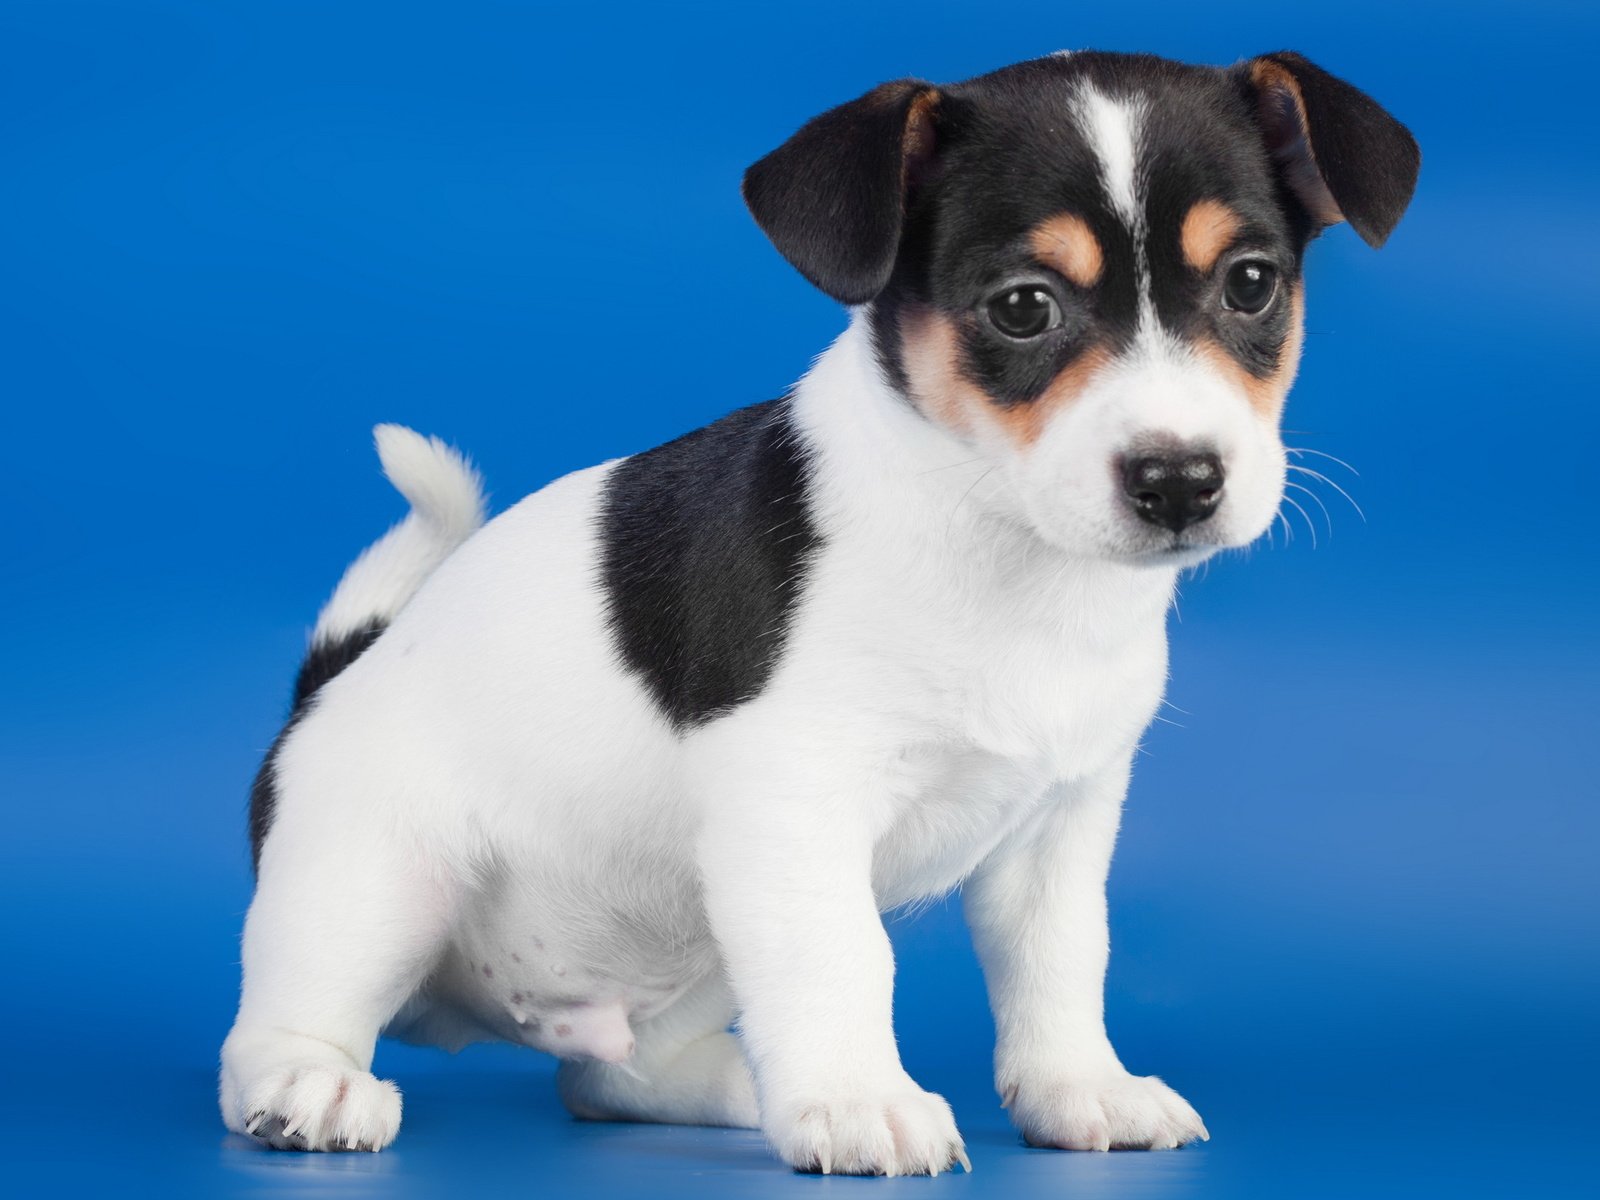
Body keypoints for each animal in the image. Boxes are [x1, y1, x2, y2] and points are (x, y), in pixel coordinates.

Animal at [219, 44, 1420, 1177]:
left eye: (1251, 285)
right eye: (1022, 308)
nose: (1180, 481)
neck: (1000, 543)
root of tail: (327, 688)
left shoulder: (1062, 822)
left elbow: (1060, 960)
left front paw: (1079, 1088)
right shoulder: (795, 806)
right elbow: (845, 958)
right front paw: (857, 1103)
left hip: (691, 949)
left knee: (607, 1079)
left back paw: (741, 1087)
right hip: (376, 884)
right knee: (272, 1037)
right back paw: (311, 1088)